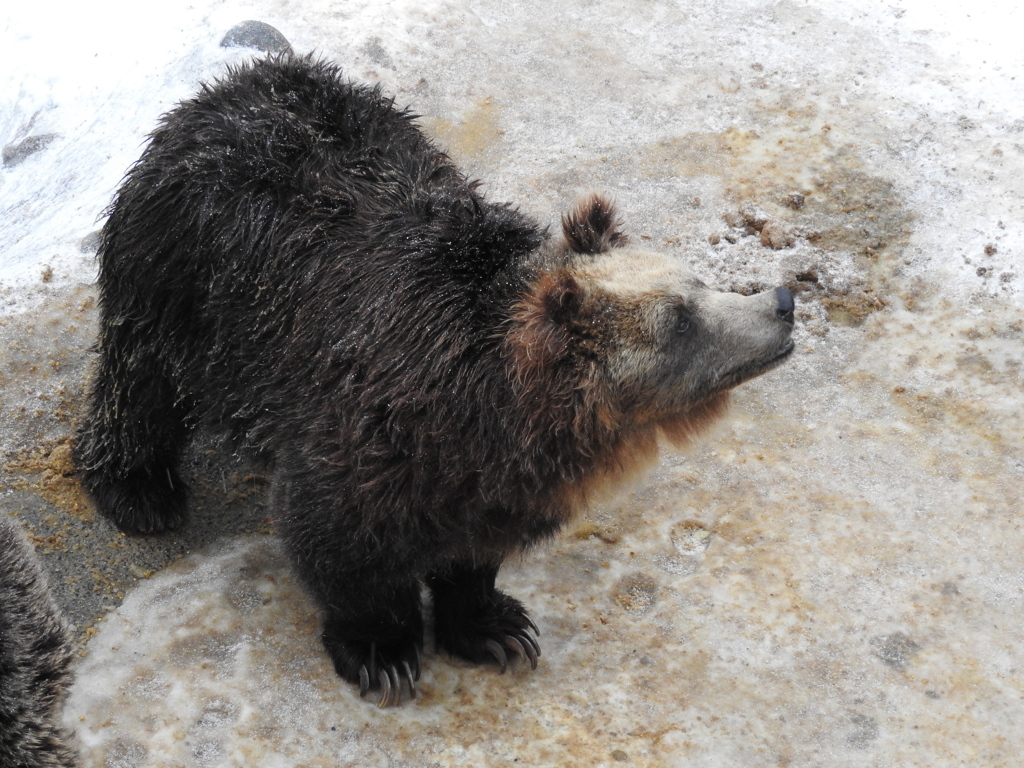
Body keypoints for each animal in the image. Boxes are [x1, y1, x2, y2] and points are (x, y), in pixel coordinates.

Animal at [74, 55, 790, 708]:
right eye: (680, 319)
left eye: (695, 282)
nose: (780, 304)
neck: (492, 407)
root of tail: (232, 83)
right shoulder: (369, 427)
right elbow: (336, 536)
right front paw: (382, 652)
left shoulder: (490, 471)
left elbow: (474, 547)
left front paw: (497, 628)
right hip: (182, 281)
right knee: (142, 387)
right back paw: (139, 490)